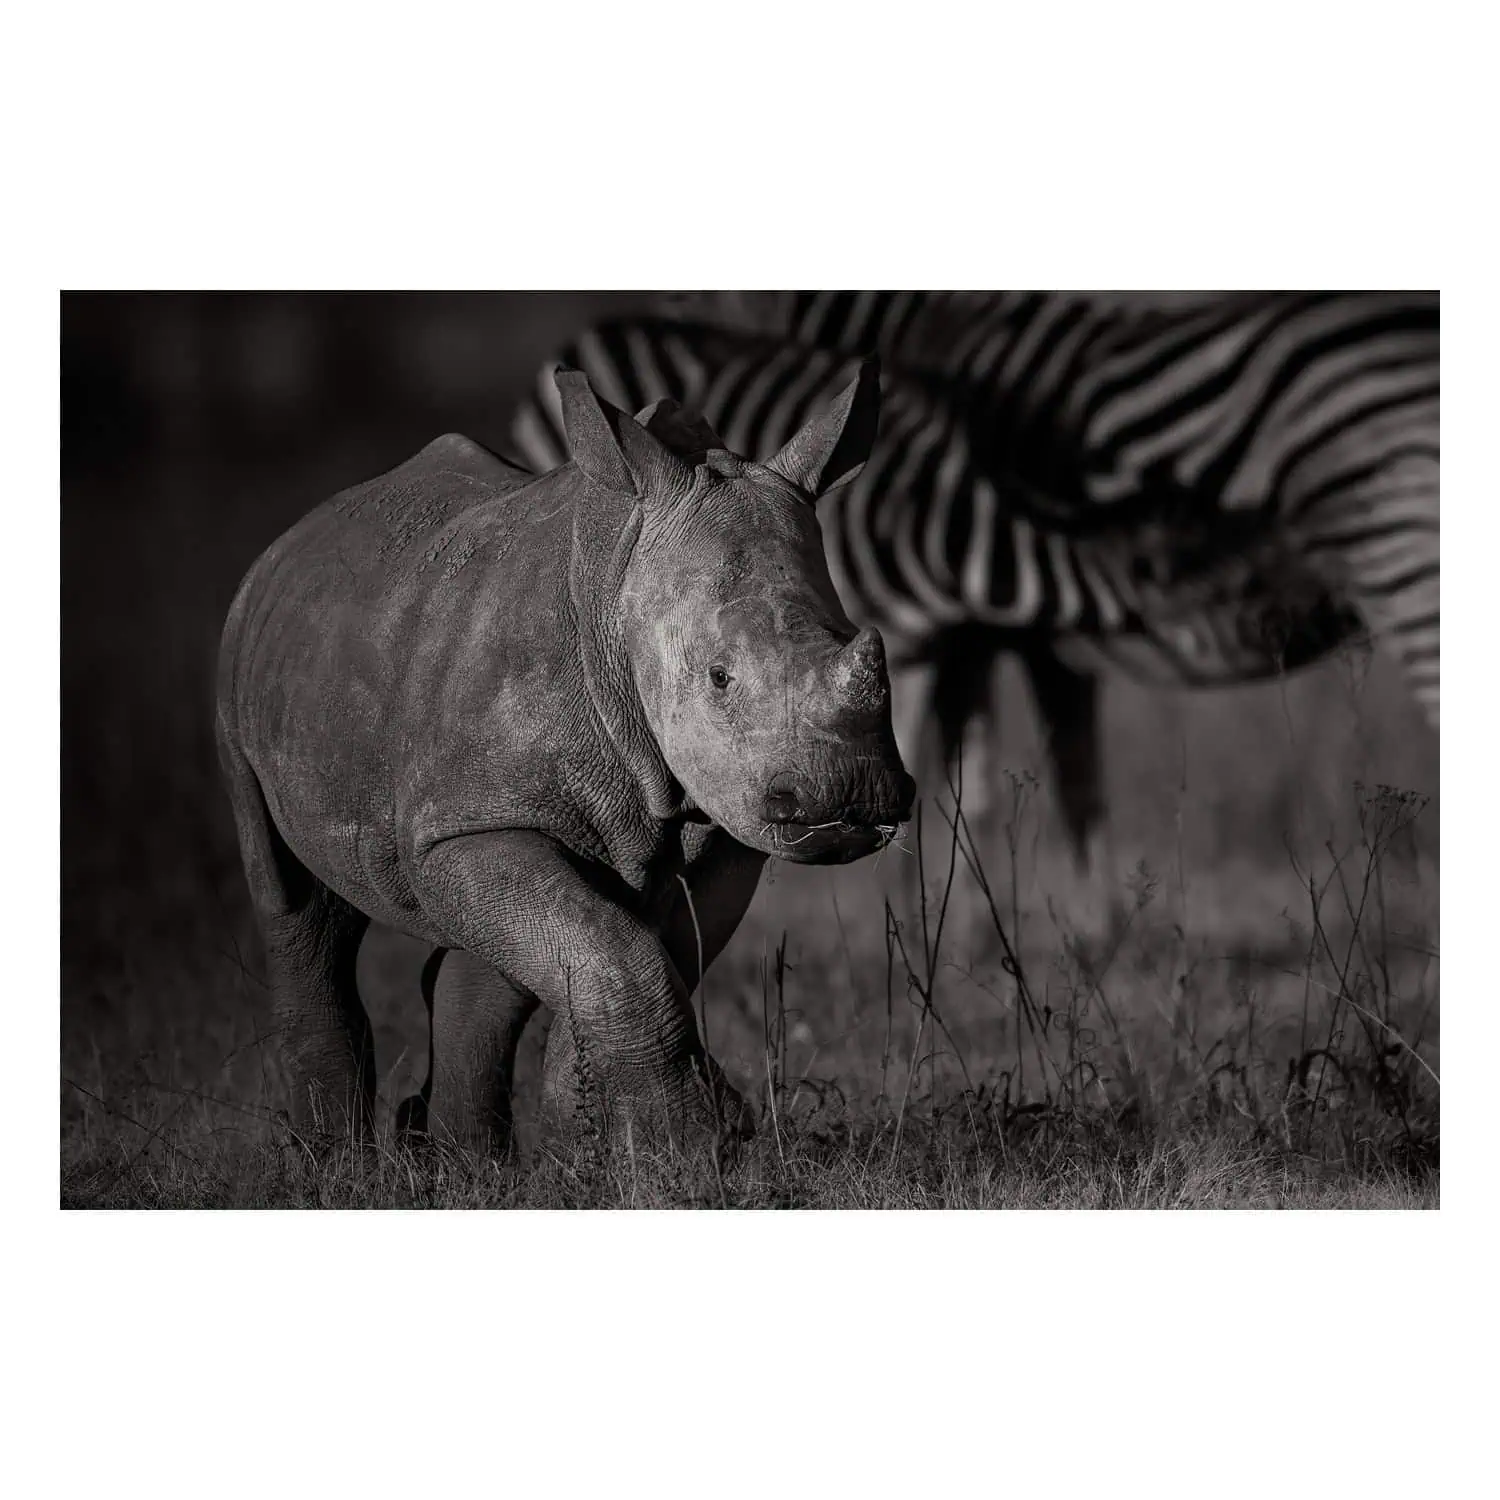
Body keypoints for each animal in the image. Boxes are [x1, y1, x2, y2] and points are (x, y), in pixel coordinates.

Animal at [502, 312, 1376, 865]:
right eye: (1255, 581)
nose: (1346, 617)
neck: (957, 536)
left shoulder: (956, 642)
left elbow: (972, 785)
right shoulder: (908, 637)